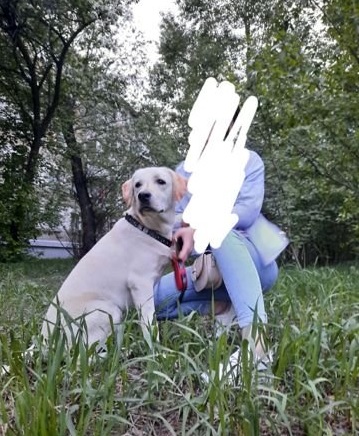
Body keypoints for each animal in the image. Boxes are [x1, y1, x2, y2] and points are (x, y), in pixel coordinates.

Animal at [41, 167, 187, 350]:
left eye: (161, 181)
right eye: (137, 185)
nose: (143, 196)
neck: (146, 227)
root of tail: (44, 344)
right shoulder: (141, 284)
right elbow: (149, 323)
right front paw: (156, 350)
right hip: (107, 310)